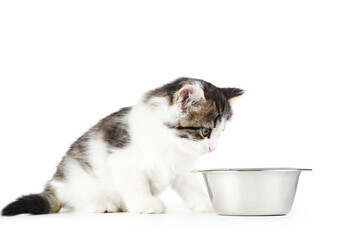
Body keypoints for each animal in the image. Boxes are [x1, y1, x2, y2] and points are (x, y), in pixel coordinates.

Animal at [1, 77, 243, 216]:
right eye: (205, 131)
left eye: (221, 133)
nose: (212, 149)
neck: (170, 141)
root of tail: (54, 186)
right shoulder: (122, 159)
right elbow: (136, 185)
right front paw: (145, 204)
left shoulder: (180, 167)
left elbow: (191, 186)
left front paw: (207, 204)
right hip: (76, 175)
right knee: (76, 199)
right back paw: (99, 204)